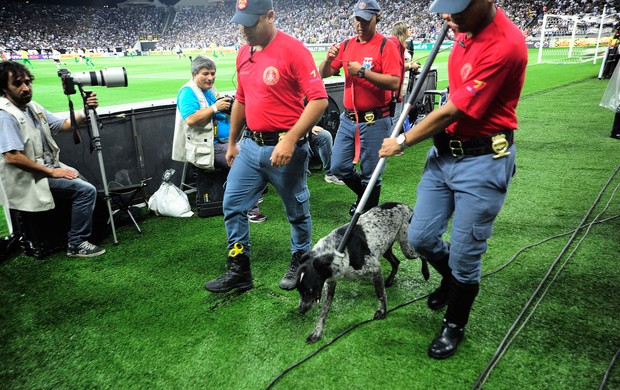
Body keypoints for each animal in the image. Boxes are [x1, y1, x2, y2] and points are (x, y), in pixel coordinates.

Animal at [294, 203, 428, 342]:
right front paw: (317, 332)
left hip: (407, 249)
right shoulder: (330, 282)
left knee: (422, 254)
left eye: (310, 290)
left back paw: (426, 273)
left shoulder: (375, 269)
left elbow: (381, 295)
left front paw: (383, 312)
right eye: (298, 289)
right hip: (386, 248)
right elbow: (324, 311)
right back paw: (390, 280)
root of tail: (404, 205)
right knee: (396, 262)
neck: (338, 251)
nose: (300, 310)